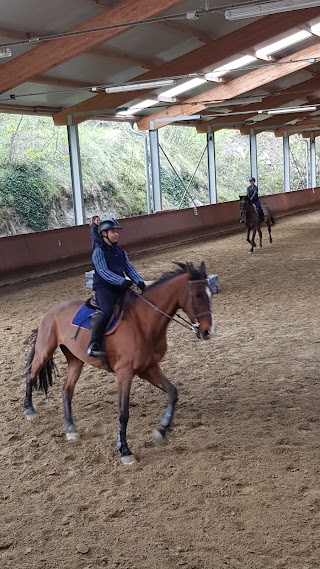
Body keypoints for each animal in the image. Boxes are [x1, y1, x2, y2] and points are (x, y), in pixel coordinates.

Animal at [24, 260, 215, 462]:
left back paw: (70, 429)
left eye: (210, 292)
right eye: (198, 294)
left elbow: (173, 393)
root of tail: (50, 312)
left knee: (66, 390)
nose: (208, 331)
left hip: (75, 360)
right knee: (31, 375)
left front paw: (161, 431)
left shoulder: (149, 368)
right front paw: (124, 450)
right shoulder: (125, 372)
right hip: (44, 351)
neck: (142, 323)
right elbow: (123, 413)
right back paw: (29, 410)